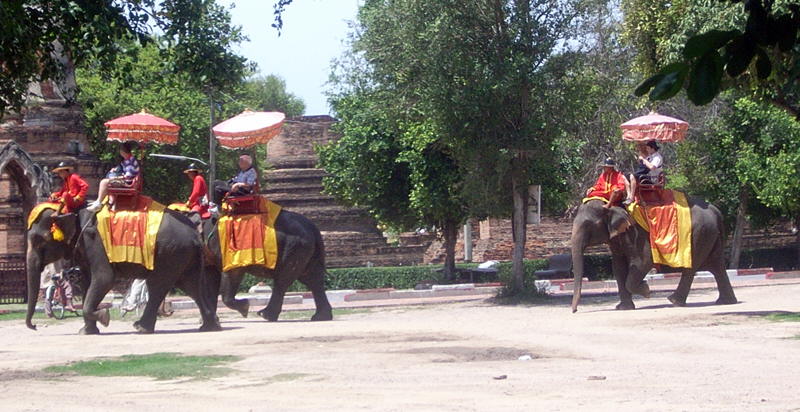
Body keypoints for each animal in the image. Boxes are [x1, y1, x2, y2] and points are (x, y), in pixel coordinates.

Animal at [26, 209, 220, 334]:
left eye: (38, 241)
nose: (34, 326)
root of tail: (195, 234)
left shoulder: (96, 243)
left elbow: (104, 279)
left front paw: (104, 317)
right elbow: (87, 282)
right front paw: (87, 331)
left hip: (171, 253)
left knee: (158, 285)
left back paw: (140, 328)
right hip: (184, 255)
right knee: (191, 286)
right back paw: (209, 326)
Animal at [202, 209, 336, 322]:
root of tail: (313, 228)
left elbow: (232, 272)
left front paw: (245, 308)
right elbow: (210, 279)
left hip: (295, 248)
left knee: (283, 280)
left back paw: (265, 315)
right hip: (306, 251)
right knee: (312, 279)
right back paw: (320, 317)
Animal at [568, 198, 736, 310]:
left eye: (588, 225)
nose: (574, 311)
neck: (612, 203)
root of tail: (714, 210)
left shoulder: (637, 234)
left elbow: (643, 262)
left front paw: (646, 290)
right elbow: (618, 267)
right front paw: (623, 308)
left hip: (698, 235)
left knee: (692, 268)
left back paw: (674, 301)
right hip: (709, 235)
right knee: (717, 266)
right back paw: (726, 302)